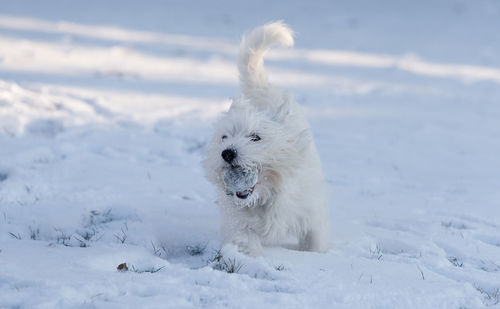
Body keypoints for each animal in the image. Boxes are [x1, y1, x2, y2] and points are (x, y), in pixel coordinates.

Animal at [203, 20, 328, 254]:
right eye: (224, 137)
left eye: (255, 137)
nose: (227, 153)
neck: (267, 195)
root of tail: (263, 89)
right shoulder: (240, 222)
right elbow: (247, 242)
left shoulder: (312, 214)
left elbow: (315, 242)